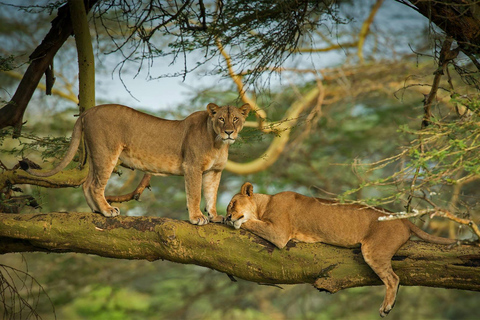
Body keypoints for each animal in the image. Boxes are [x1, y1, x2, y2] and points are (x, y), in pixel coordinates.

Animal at [227, 182, 456, 318]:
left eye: (233, 204)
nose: (228, 216)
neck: (265, 203)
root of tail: (402, 218)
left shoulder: (278, 233)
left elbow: (250, 223)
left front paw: (228, 221)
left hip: (374, 250)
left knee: (393, 279)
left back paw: (386, 307)